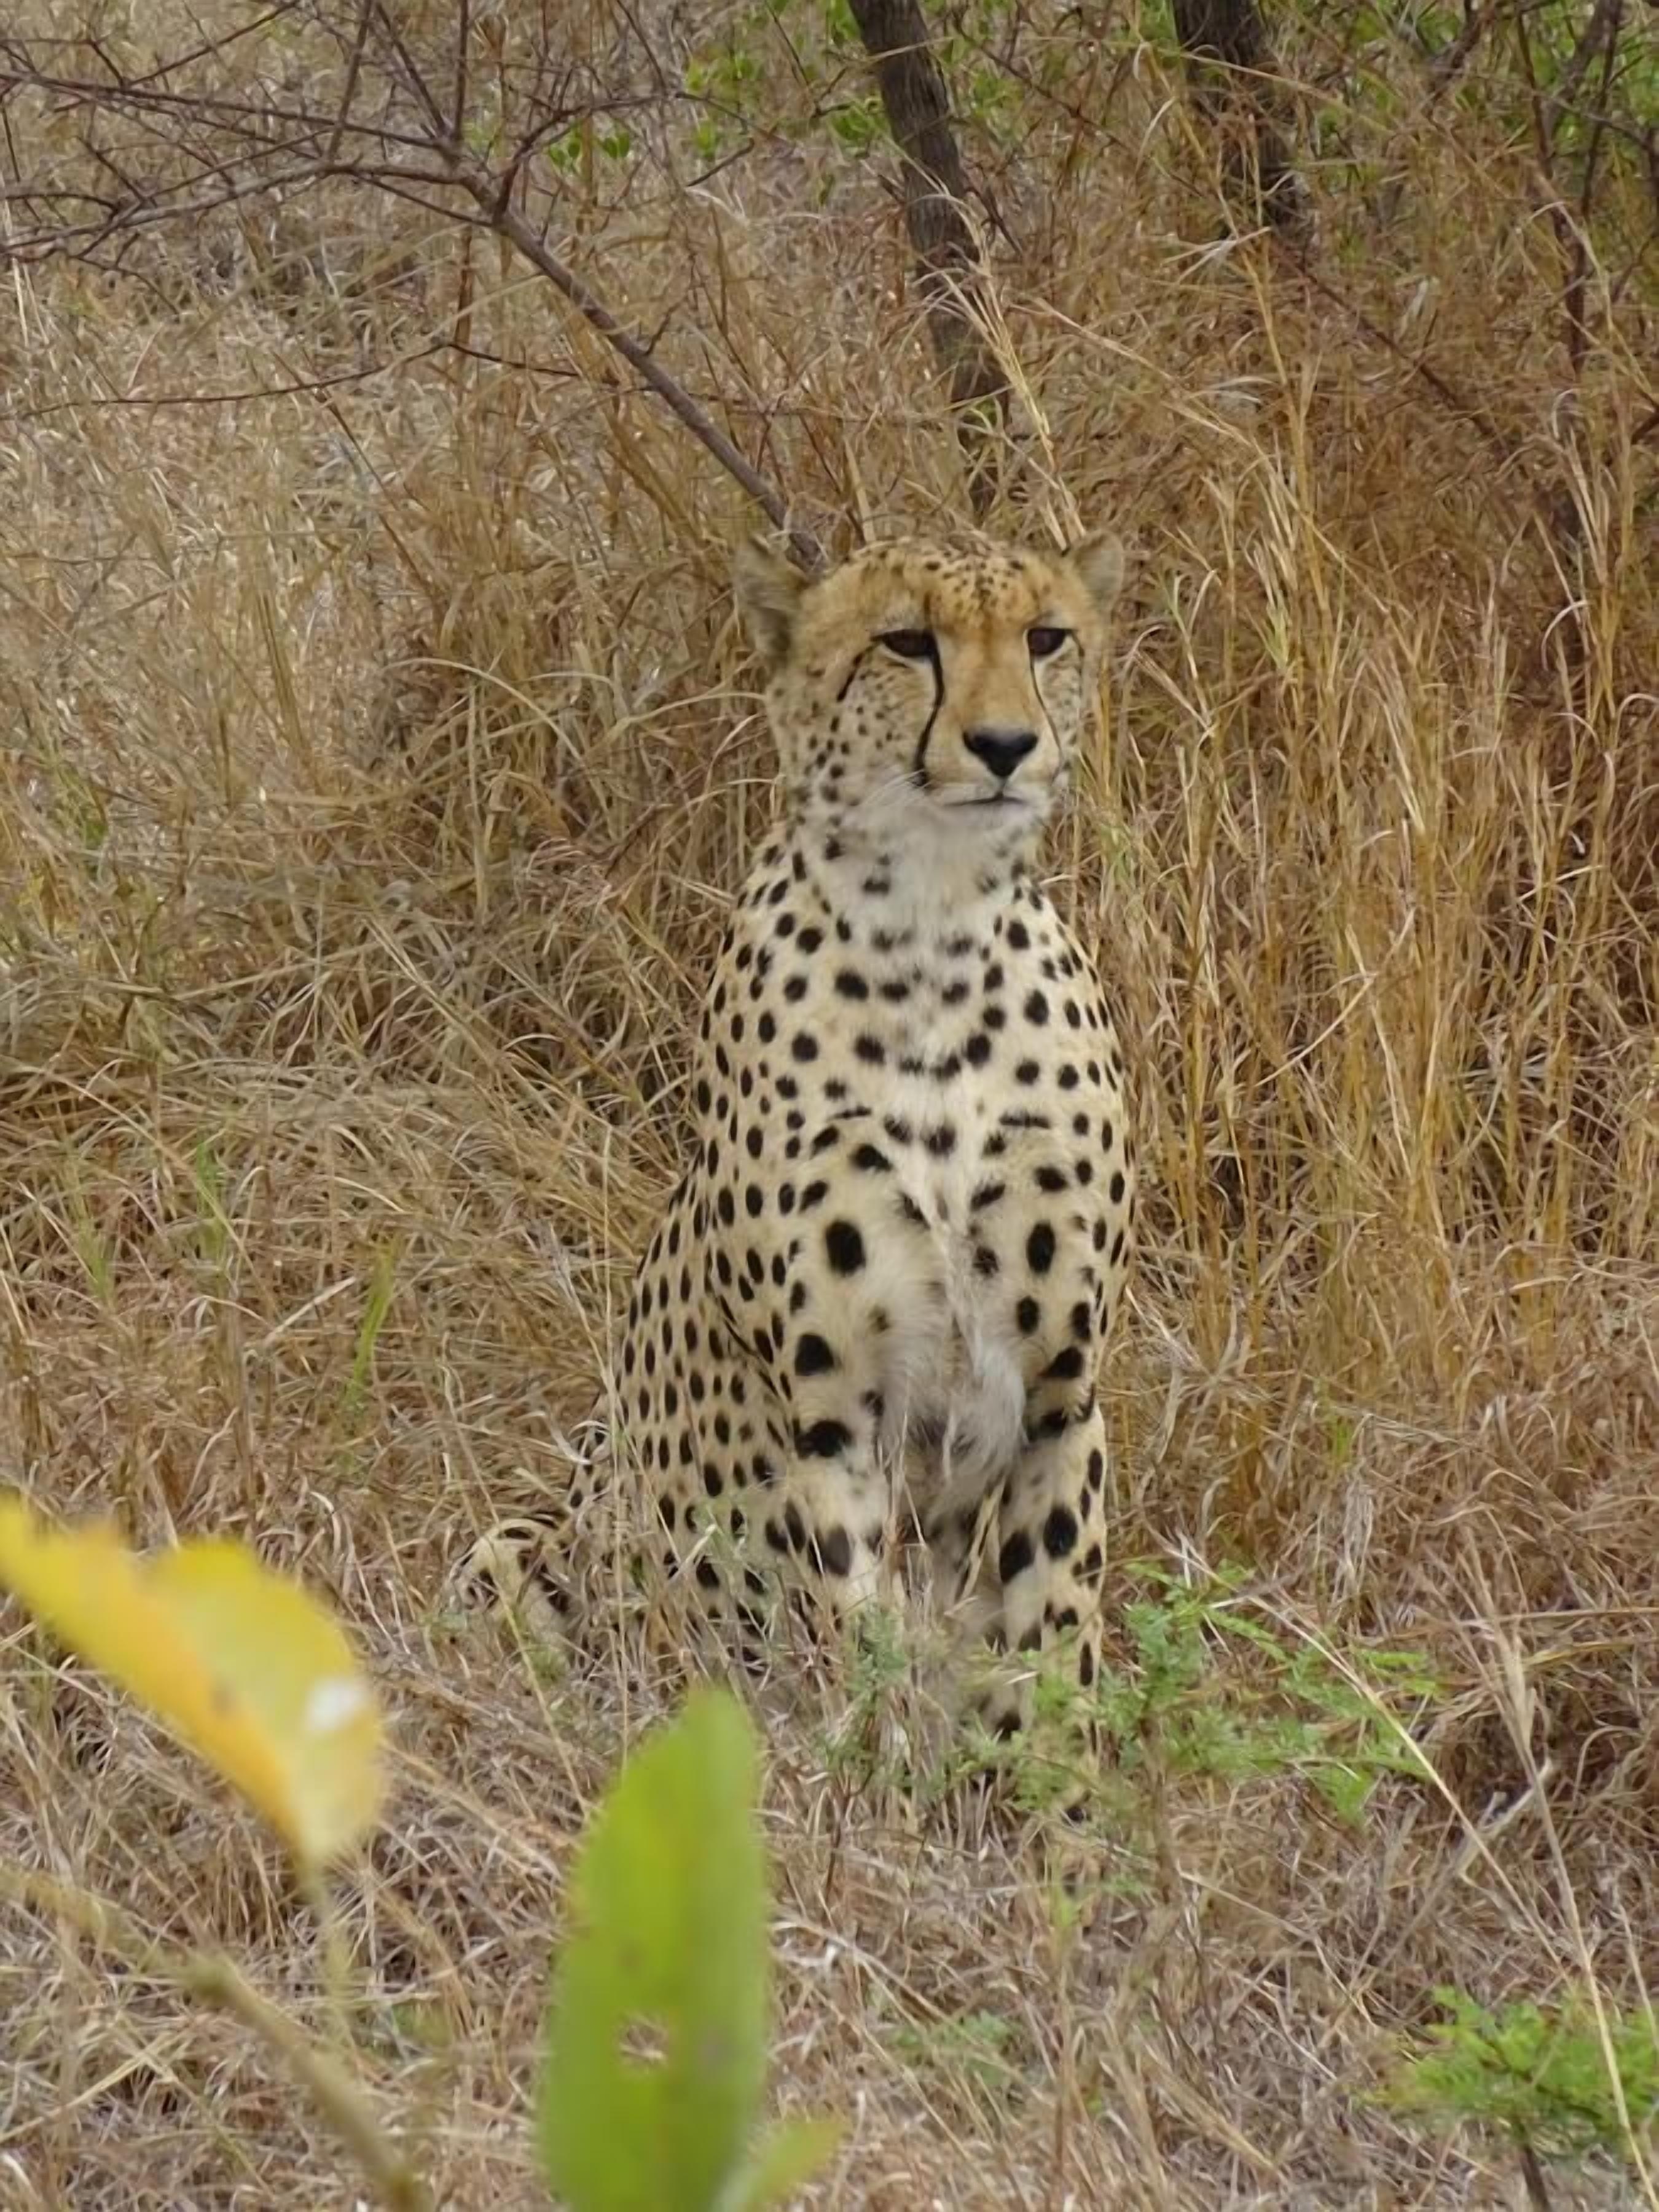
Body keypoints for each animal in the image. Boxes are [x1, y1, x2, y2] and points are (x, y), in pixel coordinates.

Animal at [460, 528, 1138, 1742]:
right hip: (518, 1545)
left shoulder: (1063, 1394)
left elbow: (1051, 1646)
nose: (1005, 745)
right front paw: (883, 1783)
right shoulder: (831, 1421)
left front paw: (1056, 1791)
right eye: (906, 643)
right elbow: (863, 1659)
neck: (933, 933)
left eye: (1046, 637)